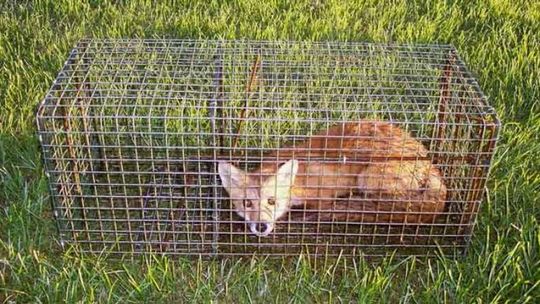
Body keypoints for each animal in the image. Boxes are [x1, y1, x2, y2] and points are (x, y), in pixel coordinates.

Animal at [216, 120, 448, 236]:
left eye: (272, 201)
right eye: (247, 203)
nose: (261, 227)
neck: (298, 182)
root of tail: (430, 162)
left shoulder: (326, 192)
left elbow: (323, 206)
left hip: (367, 178)